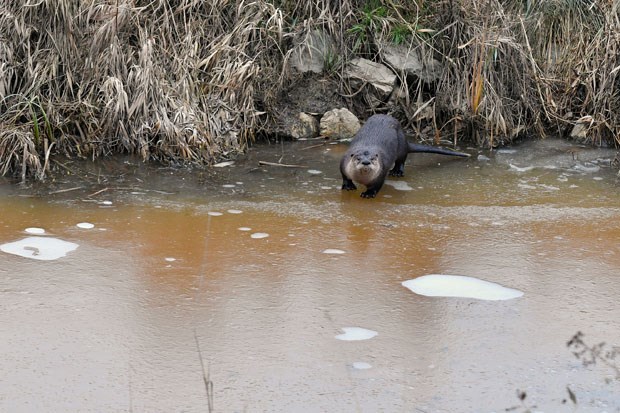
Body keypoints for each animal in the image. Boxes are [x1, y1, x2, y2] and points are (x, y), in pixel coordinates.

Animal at [340, 112, 470, 196]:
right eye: (358, 158)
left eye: (373, 159)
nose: (366, 162)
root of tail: (406, 141)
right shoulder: (344, 162)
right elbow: (345, 177)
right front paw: (348, 186)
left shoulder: (381, 172)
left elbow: (376, 186)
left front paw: (368, 194)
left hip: (401, 147)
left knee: (401, 160)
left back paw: (397, 172)